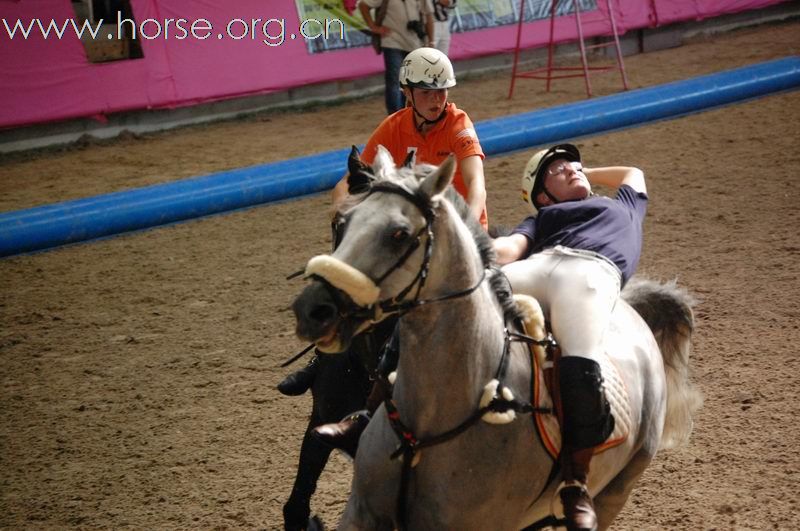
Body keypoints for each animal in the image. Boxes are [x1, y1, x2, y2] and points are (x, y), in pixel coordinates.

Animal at [290, 148, 696, 528]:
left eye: (399, 234)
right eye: (341, 222)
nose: (312, 309)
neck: (431, 423)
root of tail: (632, 311)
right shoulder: (361, 513)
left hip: (616, 490)